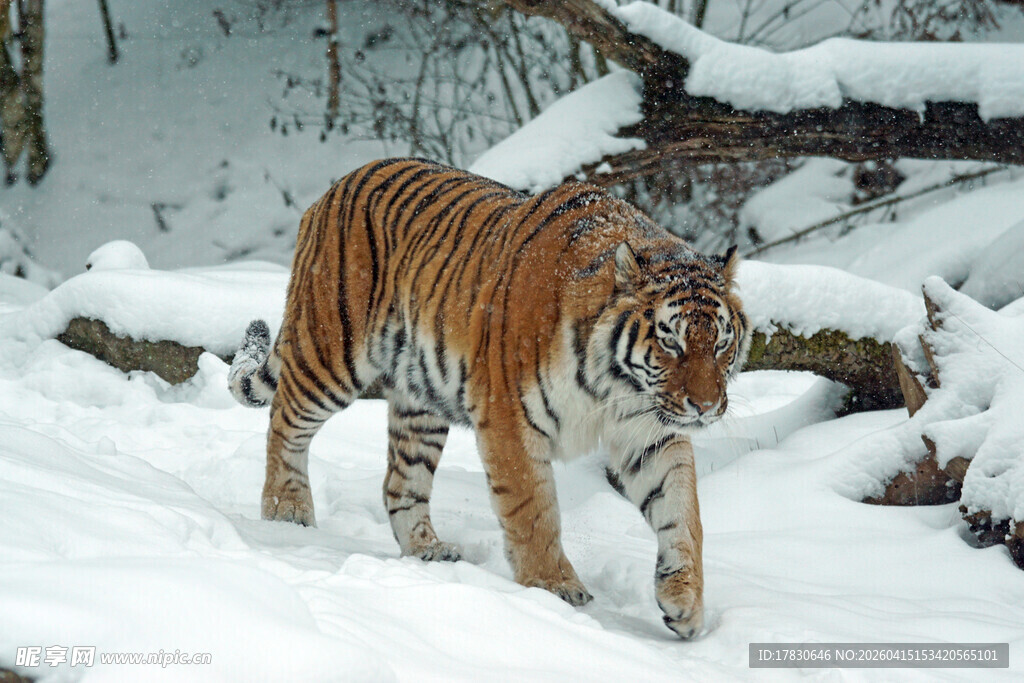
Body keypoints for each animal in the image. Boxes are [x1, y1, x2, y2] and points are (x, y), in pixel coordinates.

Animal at [228, 158, 749, 639]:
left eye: (721, 343)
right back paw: (285, 512)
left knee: (400, 482)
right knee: (285, 422)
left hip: (420, 401)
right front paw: (554, 587)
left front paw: (685, 601)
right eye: (671, 342)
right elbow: (533, 510)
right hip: (331, 350)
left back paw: (428, 551)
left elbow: (682, 511)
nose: (706, 407)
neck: (616, 386)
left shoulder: (650, 432)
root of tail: (336, 186)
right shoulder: (509, 419)